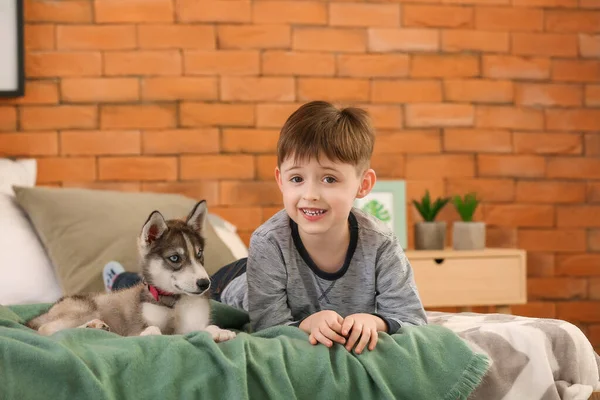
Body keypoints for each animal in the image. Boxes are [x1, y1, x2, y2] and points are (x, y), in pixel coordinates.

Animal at [26, 200, 237, 340]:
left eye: (199, 254)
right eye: (175, 258)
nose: (204, 283)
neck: (174, 302)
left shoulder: (193, 323)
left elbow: (207, 327)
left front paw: (220, 332)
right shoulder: (138, 326)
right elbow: (154, 330)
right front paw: (151, 333)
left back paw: (96, 326)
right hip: (83, 308)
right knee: (47, 330)